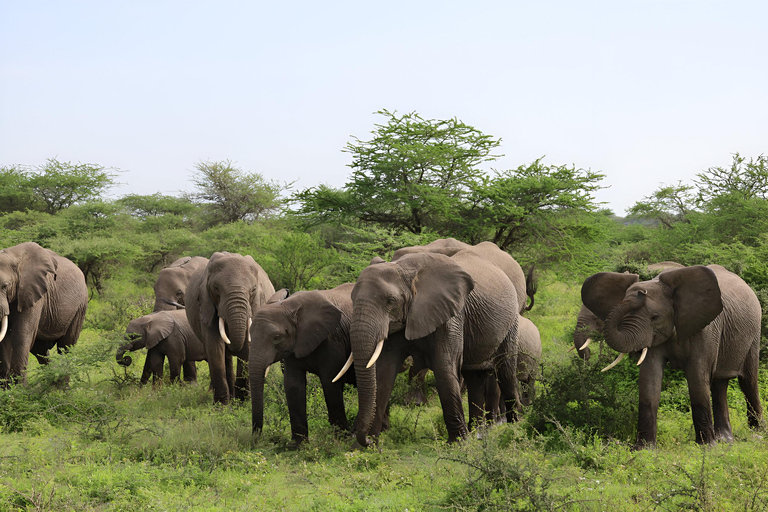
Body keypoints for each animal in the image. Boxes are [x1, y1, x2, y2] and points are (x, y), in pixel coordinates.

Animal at [0, 242, 88, 382]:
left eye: (5, 286)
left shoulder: (33, 293)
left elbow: (21, 335)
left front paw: (19, 387)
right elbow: (4, 341)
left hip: (80, 306)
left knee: (65, 347)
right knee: (41, 351)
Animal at [186, 251, 276, 404]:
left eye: (253, 289)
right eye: (216, 289)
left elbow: (248, 347)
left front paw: (242, 402)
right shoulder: (206, 306)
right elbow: (215, 349)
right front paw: (222, 405)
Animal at [338, 250, 520, 446]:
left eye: (390, 301)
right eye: (352, 299)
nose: (366, 440)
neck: (405, 271)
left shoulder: (450, 317)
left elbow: (444, 369)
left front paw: (457, 444)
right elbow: (384, 372)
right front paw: (366, 447)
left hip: (511, 322)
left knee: (506, 370)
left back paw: (514, 427)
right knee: (474, 377)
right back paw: (477, 433)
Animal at [584, 264, 760, 448]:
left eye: (655, 317)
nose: (641, 292)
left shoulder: (706, 329)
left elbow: (698, 378)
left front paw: (707, 447)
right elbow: (650, 379)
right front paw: (644, 448)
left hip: (754, 333)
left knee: (748, 382)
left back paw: (756, 434)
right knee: (720, 384)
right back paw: (725, 440)